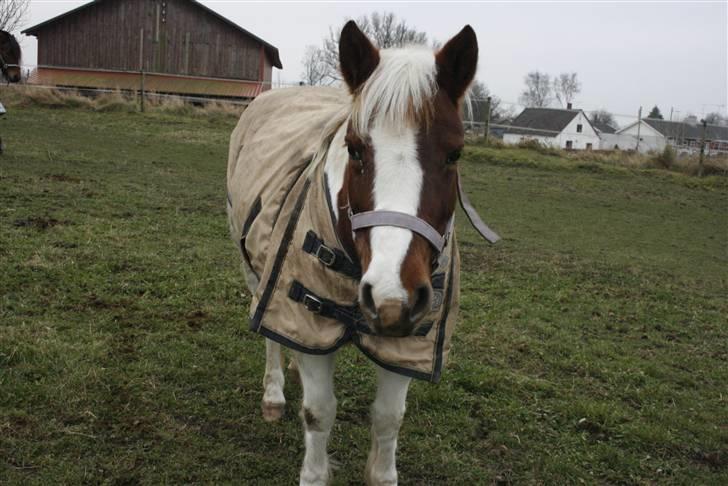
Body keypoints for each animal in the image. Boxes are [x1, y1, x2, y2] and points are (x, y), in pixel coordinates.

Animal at [226, 20, 494, 484]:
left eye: (454, 153)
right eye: (354, 149)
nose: (391, 294)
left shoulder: (407, 342)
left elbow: (387, 421)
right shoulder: (302, 309)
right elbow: (319, 413)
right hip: (256, 273)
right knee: (270, 336)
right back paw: (274, 393)